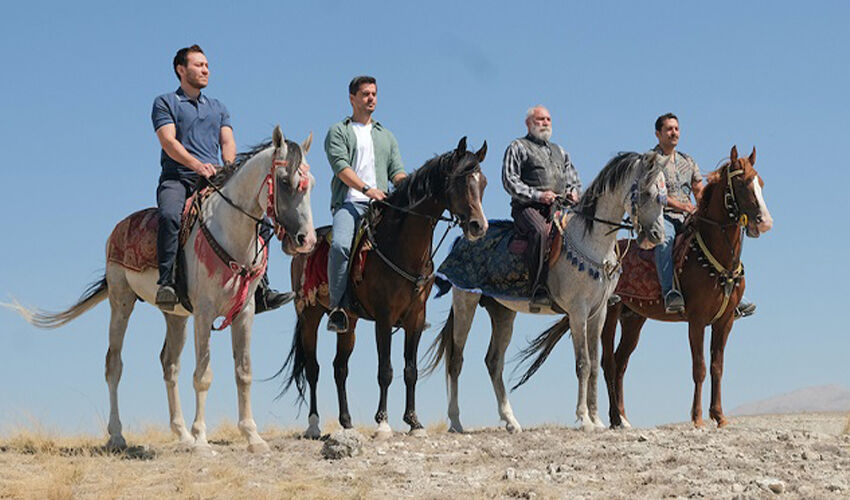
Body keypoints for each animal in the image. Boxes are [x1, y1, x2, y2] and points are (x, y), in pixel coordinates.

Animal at [4, 125, 316, 454]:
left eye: (310, 184)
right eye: (284, 181)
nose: (305, 240)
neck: (229, 234)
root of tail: (118, 228)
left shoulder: (244, 312)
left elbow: (243, 372)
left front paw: (252, 437)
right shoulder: (204, 313)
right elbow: (203, 375)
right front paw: (202, 440)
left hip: (175, 316)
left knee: (170, 364)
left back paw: (181, 434)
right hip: (121, 301)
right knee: (113, 364)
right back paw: (118, 435)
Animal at [278, 137, 486, 438]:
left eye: (483, 183)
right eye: (459, 182)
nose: (478, 226)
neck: (400, 246)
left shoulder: (415, 319)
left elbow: (410, 370)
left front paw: (414, 422)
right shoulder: (384, 318)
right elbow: (385, 370)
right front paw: (383, 422)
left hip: (349, 323)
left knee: (339, 368)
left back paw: (346, 421)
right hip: (309, 315)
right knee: (313, 369)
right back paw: (314, 424)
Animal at [428, 150, 664, 432]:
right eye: (647, 193)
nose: (657, 235)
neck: (592, 241)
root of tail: (464, 238)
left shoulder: (600, 313)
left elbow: (595, 364)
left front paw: (597, 420)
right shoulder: (578, 312)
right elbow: (583, 363)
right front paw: (584, 419)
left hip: (502, 312)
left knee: (493, 362)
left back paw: (511, 421)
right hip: (466, 301)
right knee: (456, 358)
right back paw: (455, 422)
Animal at [600, 146, 772, 430]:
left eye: (761, 183)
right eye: (741, 183)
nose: (765, 222)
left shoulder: (725, 321)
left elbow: (717, 366)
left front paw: (719, 416)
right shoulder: (697, 320)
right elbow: (699, 367)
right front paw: (698, 418)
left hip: (633, 319)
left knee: (621, 362)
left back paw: (623, 417)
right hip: (608, 315)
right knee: (608, 363)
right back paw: (615, 419)